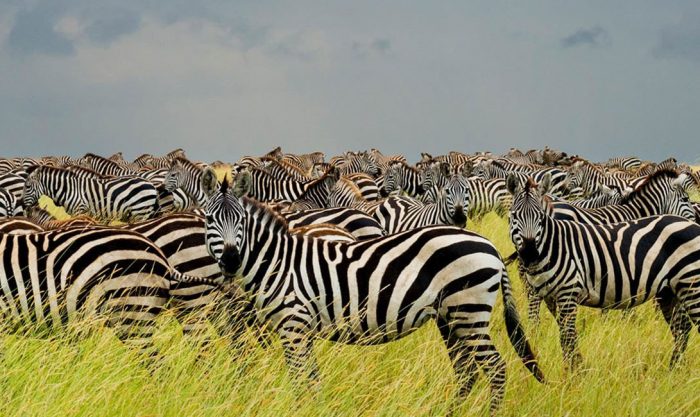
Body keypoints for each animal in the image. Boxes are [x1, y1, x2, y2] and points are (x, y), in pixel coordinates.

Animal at [23, 166, 160, 223]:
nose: (23, 206)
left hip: (141, 211)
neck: (69, 189)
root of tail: (151, 185)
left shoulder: (79, 210)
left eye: (27, 186)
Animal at [200, 168, 544, 412]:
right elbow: (312, 379)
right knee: (466, 370)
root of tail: (491, 247)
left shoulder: (293, 327)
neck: (278, 262)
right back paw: (450, 412)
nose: (230, 260)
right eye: (210, 220)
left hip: (469, 312)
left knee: (495, 369)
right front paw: (317, 408)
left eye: (240, 221)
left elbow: (300, 381)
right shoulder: (301, 330)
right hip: (451, 318)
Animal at [506, 174, 700, 368]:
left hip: (689, 284)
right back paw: (674, 368)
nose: (529, 254)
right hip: (670, 290)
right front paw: (575, 369)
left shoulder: (570, 292)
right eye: (514, 216)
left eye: (540, 218)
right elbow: (567, 335)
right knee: (682, 328)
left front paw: (575, 371)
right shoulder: (554, 295)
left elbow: (567, 337)